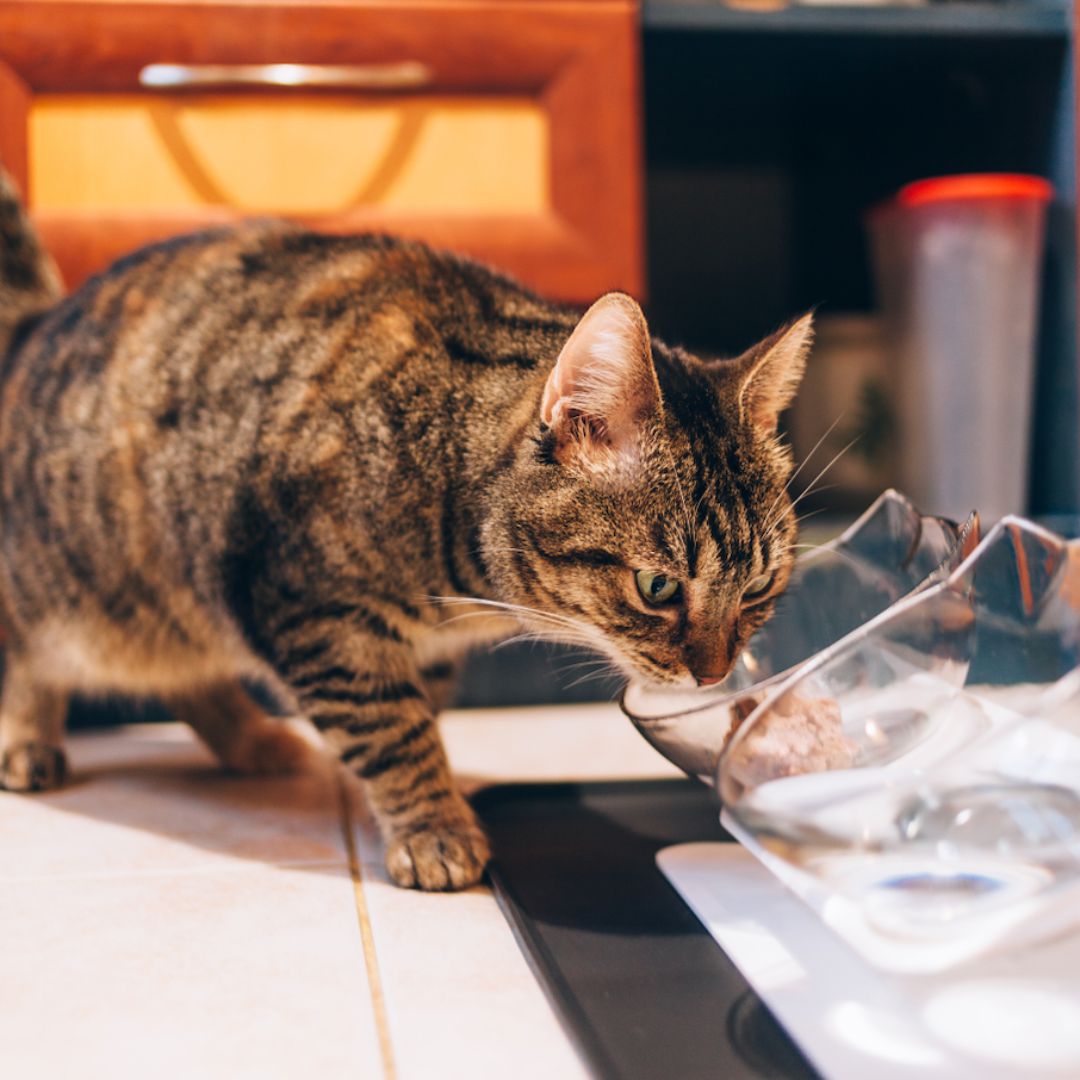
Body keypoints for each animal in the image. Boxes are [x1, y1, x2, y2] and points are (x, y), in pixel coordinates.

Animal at [0, 172, 812, 889]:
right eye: (657, 587)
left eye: (761, 586)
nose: (714, 675)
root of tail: (30, 328)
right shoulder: (316, 612)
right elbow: (392, 730)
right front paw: (434, 830)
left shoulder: (417, 651)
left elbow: (418, 719)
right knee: (29, 661)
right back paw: (27, 740)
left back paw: (253, 739)